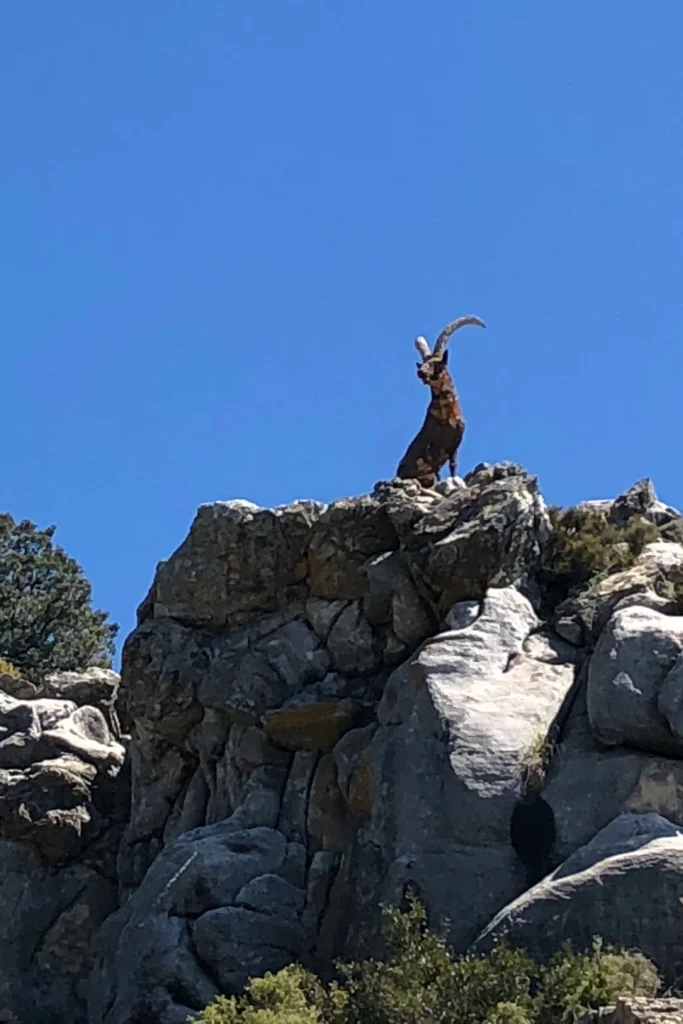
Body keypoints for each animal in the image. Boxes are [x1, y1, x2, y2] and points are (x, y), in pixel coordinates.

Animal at [396, 315, 486, 488]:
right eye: (424, 363)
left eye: (436, 363)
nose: (420, 372)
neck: (446, 412)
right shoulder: (434, 448)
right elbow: (439, 470)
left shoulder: (454, 446)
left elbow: (453, 467)